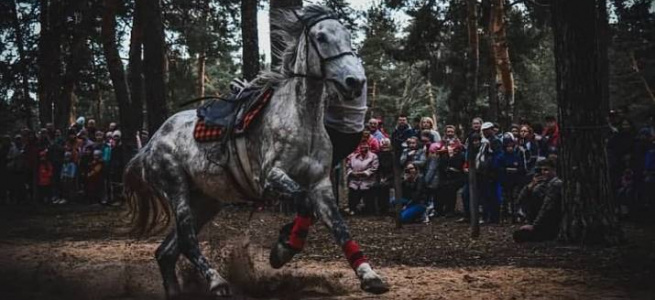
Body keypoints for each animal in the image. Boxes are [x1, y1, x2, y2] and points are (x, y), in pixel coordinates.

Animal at [123, 5, 390, 298]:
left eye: (348, 35)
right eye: (321, 37)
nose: (355, 81)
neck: (302, 119)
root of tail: (150, 144)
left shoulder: (321, 183)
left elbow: (340, 227)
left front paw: (369, 274)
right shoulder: (271, 178)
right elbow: (304, 202)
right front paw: (284, 248)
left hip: (205, 200)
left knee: (168, 251)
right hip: (176, 188)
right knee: (187, 240)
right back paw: (217, 282)